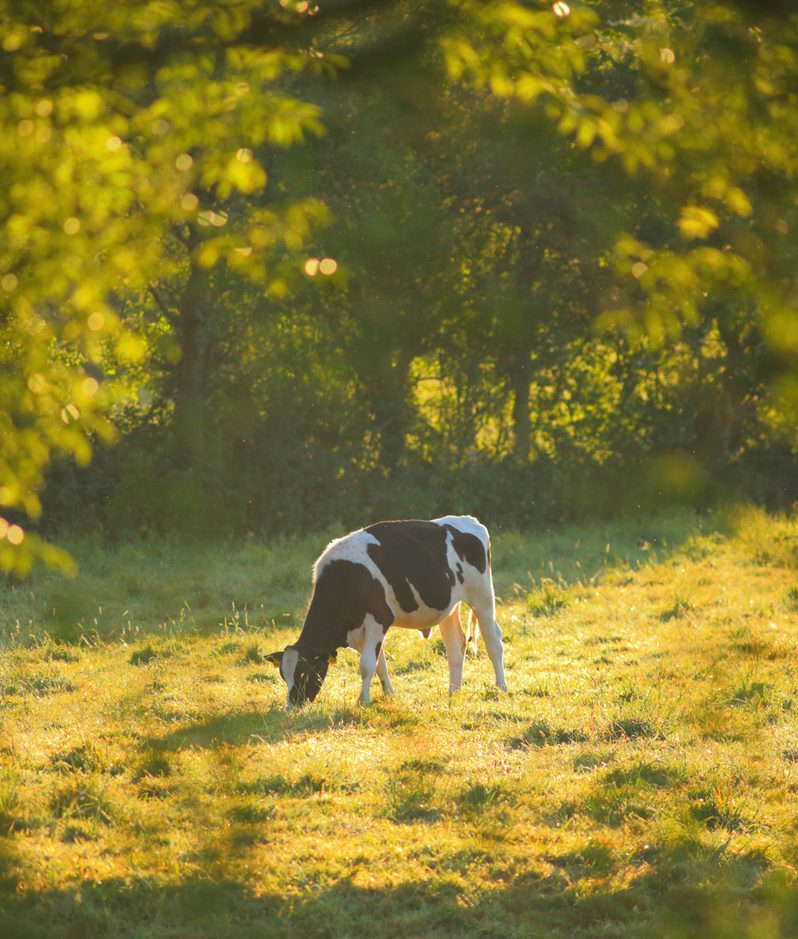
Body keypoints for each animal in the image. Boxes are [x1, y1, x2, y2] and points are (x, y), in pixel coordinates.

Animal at [265, 515, 507, 708]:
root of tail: (468, 520)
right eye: (283, 676)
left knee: (493, 643)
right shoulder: (361, 630)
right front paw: (388, 695)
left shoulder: (379, 618)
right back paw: (453, 692)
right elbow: (379, 664)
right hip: (448, 607)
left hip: (482, 596)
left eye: (303, 673)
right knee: (455, 646)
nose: (291, 707)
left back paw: (501, 687)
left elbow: (366, 665)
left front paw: (362, 701)